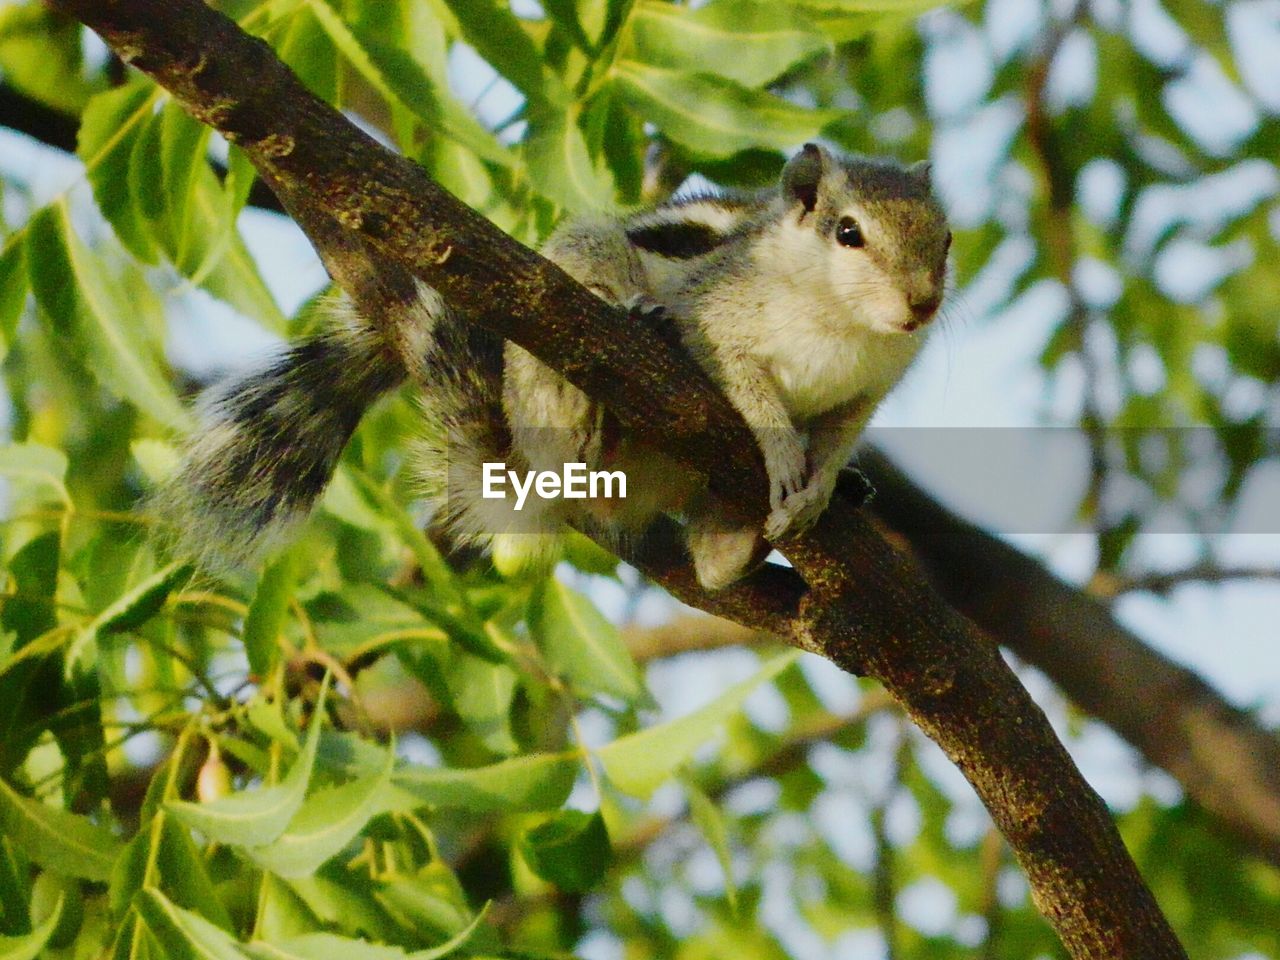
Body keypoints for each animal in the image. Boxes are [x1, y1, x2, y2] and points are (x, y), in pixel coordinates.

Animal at [154, 142, 947, 591]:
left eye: (945, 239)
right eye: (848, 232)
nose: (923, 305)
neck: (843, 323)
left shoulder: (869, 390)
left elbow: (839, 433)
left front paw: (822, 485)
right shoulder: (718, 318)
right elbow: (748, 388)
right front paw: (782, 455)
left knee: (710, 564)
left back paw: (742, 544)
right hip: (560, 340)